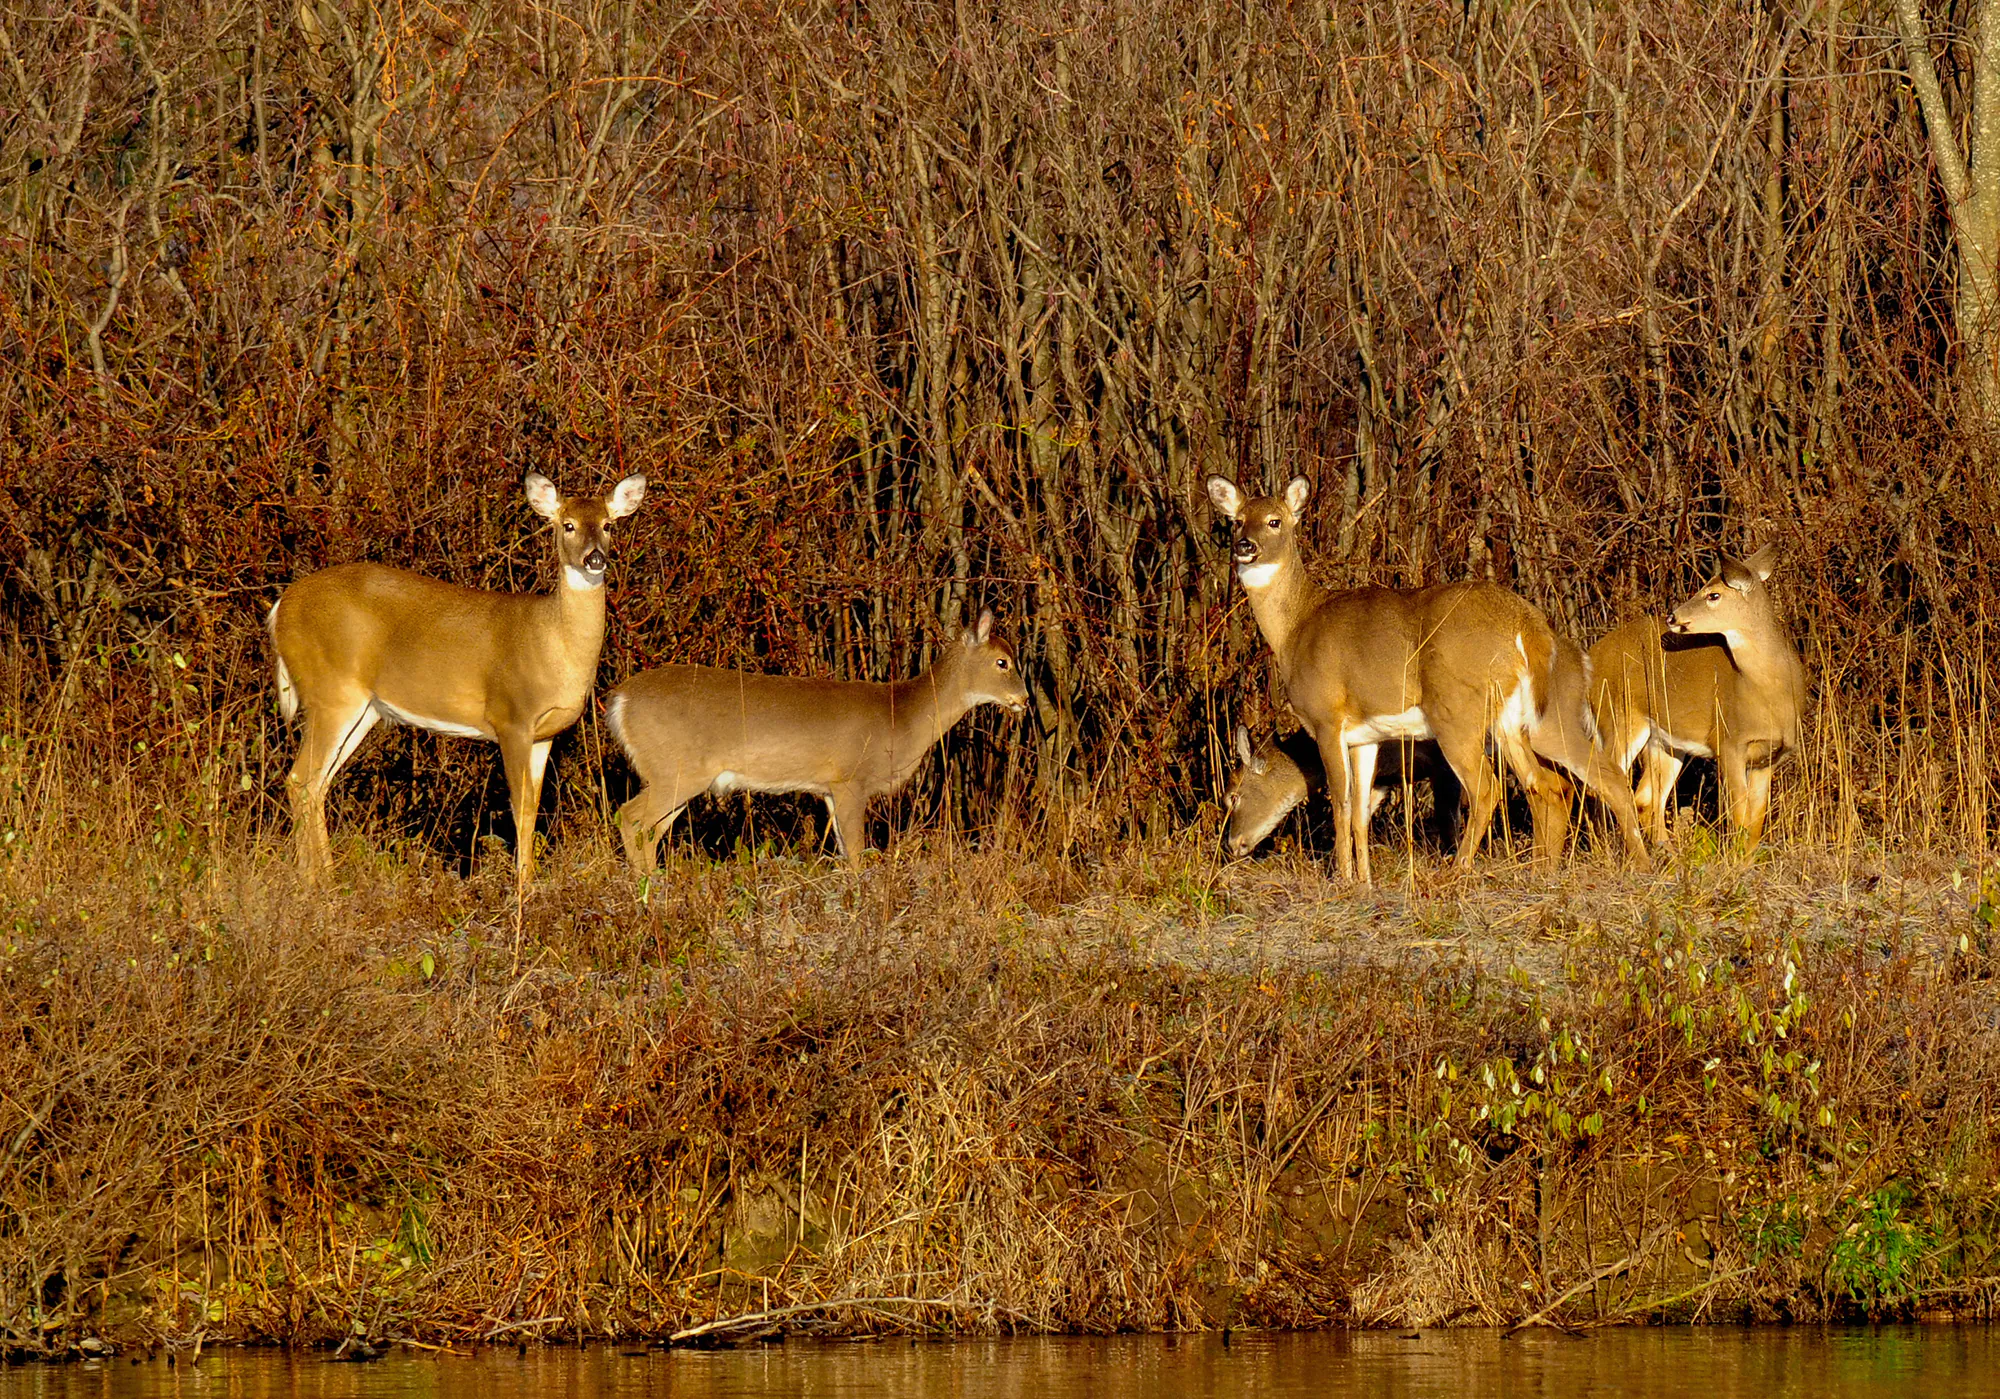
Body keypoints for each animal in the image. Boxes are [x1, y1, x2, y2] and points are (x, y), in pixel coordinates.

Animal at [268, 472, 648, 891]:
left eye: (608, 525)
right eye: (568, 525)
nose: (595, 559)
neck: (552, 642)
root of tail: (279, 608)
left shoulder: (544, 734)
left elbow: (532, 807)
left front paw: (529, 883)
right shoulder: (511, 718)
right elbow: (518, 805)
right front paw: (521, 889)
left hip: (363, 708)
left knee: (317, 783)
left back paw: (326, 879)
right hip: (331, 692)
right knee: (300, 779)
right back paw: (315, 883)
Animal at [605, 608, 1030, 872]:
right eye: (1003, 662)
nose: (1024, 700)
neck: (901, 717)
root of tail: (620, 700)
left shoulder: (827, 789)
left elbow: (843, 848)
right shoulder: (850, 779)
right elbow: (856, 855)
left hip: (676, 776)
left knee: (649, 830)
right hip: (674, 770)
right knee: (630, 817)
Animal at [1588, 546, 1806, 848]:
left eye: (1713, 594)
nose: (1672, 617)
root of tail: (1591, 656)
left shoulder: (1769, 757)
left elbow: (1755, 822)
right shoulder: (1728, 742)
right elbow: (1739, 816)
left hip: (1663, 740)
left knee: (1645, 797)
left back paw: (1666, 850)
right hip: (1618, 717)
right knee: (1603, 785)